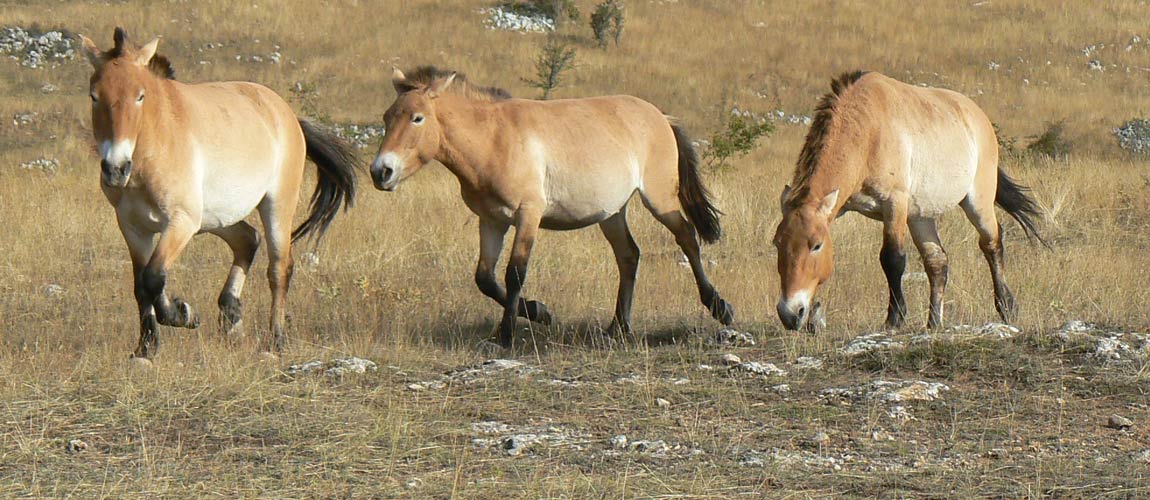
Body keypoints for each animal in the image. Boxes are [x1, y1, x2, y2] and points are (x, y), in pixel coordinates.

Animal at [368, 67, 731, 349]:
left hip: (659, 199)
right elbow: (485, 278)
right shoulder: (491, 221)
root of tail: (659, 115)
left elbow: (515, 272)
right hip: (612, 213)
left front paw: (506, 335)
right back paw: (618, 327)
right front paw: (538, 312)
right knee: (629, 256)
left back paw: (720, 307)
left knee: (687, 238)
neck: (494, 140)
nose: (380, 171)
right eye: (387, 117)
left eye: (418, 118)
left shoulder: (528, 214)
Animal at [768, 69, 1048, 328]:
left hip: (977, 203)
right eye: (777, 243)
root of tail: (978, 116)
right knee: (937, 262)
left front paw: (894, 318)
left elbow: (892, 258)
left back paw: (1007, 307)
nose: (790, 314)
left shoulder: (894, 204)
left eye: (816, 245)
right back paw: (934, 323)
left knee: (991, 244)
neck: (868, 131)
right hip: (920, 217)